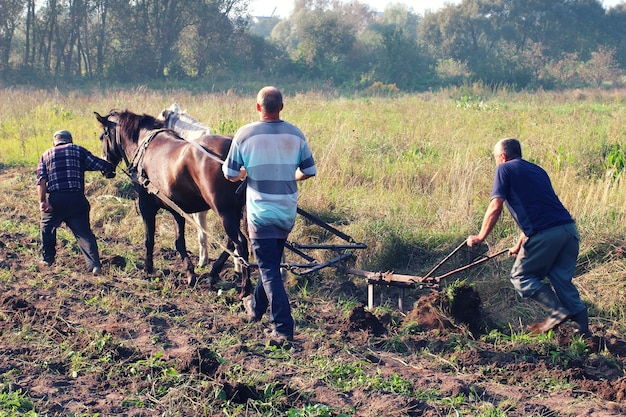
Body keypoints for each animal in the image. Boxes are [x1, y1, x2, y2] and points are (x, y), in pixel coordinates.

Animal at [92, 109, 249, 294]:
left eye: (103, 136)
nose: (105, 169)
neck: (143, 144)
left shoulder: (145, 204)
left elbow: (149, 238)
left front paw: (148, 268)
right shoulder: (177, 210)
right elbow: (179, 241)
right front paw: (190, 273)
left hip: (224, 211)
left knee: (240, 242)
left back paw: (245, 288)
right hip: (234, 211)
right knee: (231, 242)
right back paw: (214, 273)